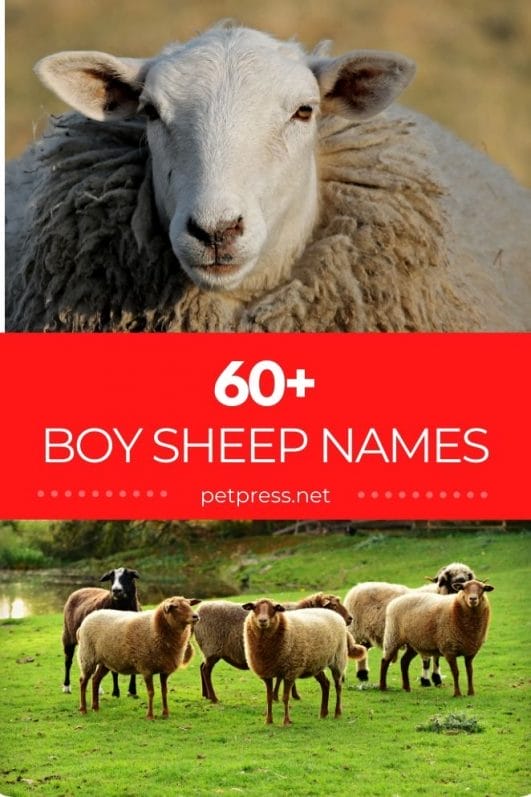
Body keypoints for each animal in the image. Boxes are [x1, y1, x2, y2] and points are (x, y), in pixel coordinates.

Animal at [62, 567, 140, 697]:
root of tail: (80, 589)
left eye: (128, 576)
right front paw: (116, 692)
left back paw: (98, 689)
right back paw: (66, 686)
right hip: (68, 636)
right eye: (111, 578)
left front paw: (132, 691)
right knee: (68, 662)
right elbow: (114, 671)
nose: (116, 590)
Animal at [193, 592, 352, 703]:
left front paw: (285, 695)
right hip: (212, 648)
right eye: (333, 606)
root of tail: (198, 611)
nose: (350, 618)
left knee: (201, 667)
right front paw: (289, 695)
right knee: (206, 671)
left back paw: (205, 695)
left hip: (208, 650)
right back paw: (213, 698)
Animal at [344, 561, 475, 686]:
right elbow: (426, 660)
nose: (460, 581)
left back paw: (363, 675)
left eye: (467, 575)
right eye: (450, 575)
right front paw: (425, 680)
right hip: (354, 631)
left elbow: (436, 658)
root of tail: (357, 587)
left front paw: (437, 678)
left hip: (366, 635)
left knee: (363, 650)